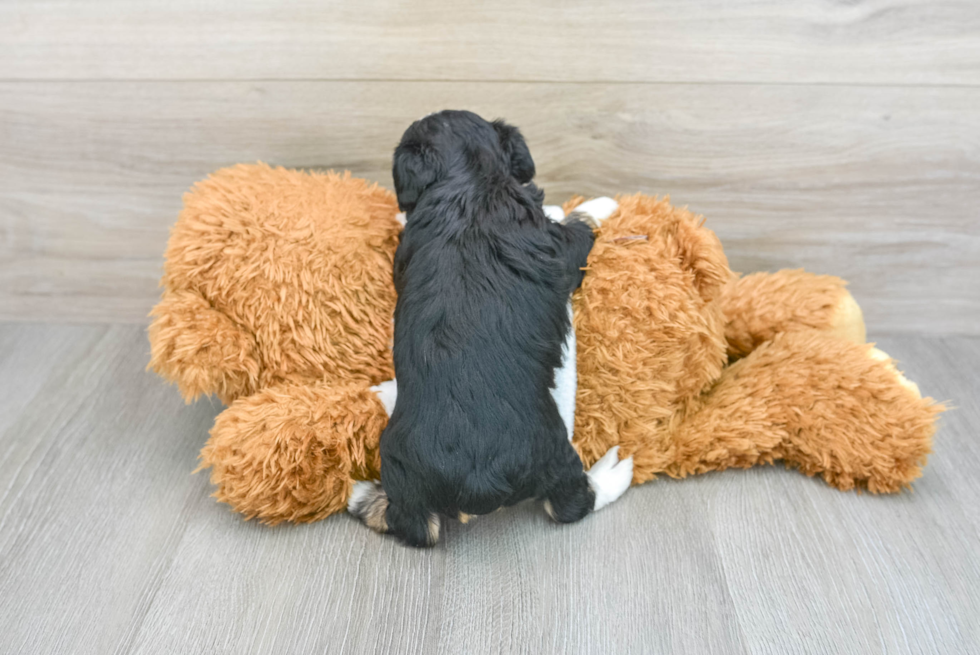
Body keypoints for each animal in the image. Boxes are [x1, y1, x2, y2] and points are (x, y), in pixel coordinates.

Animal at [350, 110, 604, 544]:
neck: (470, 179)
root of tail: (479, 484)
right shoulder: (563, 249)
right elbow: (579, 230)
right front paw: (590, 209)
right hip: (553, 456)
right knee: (573, 504)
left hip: (407, 468)